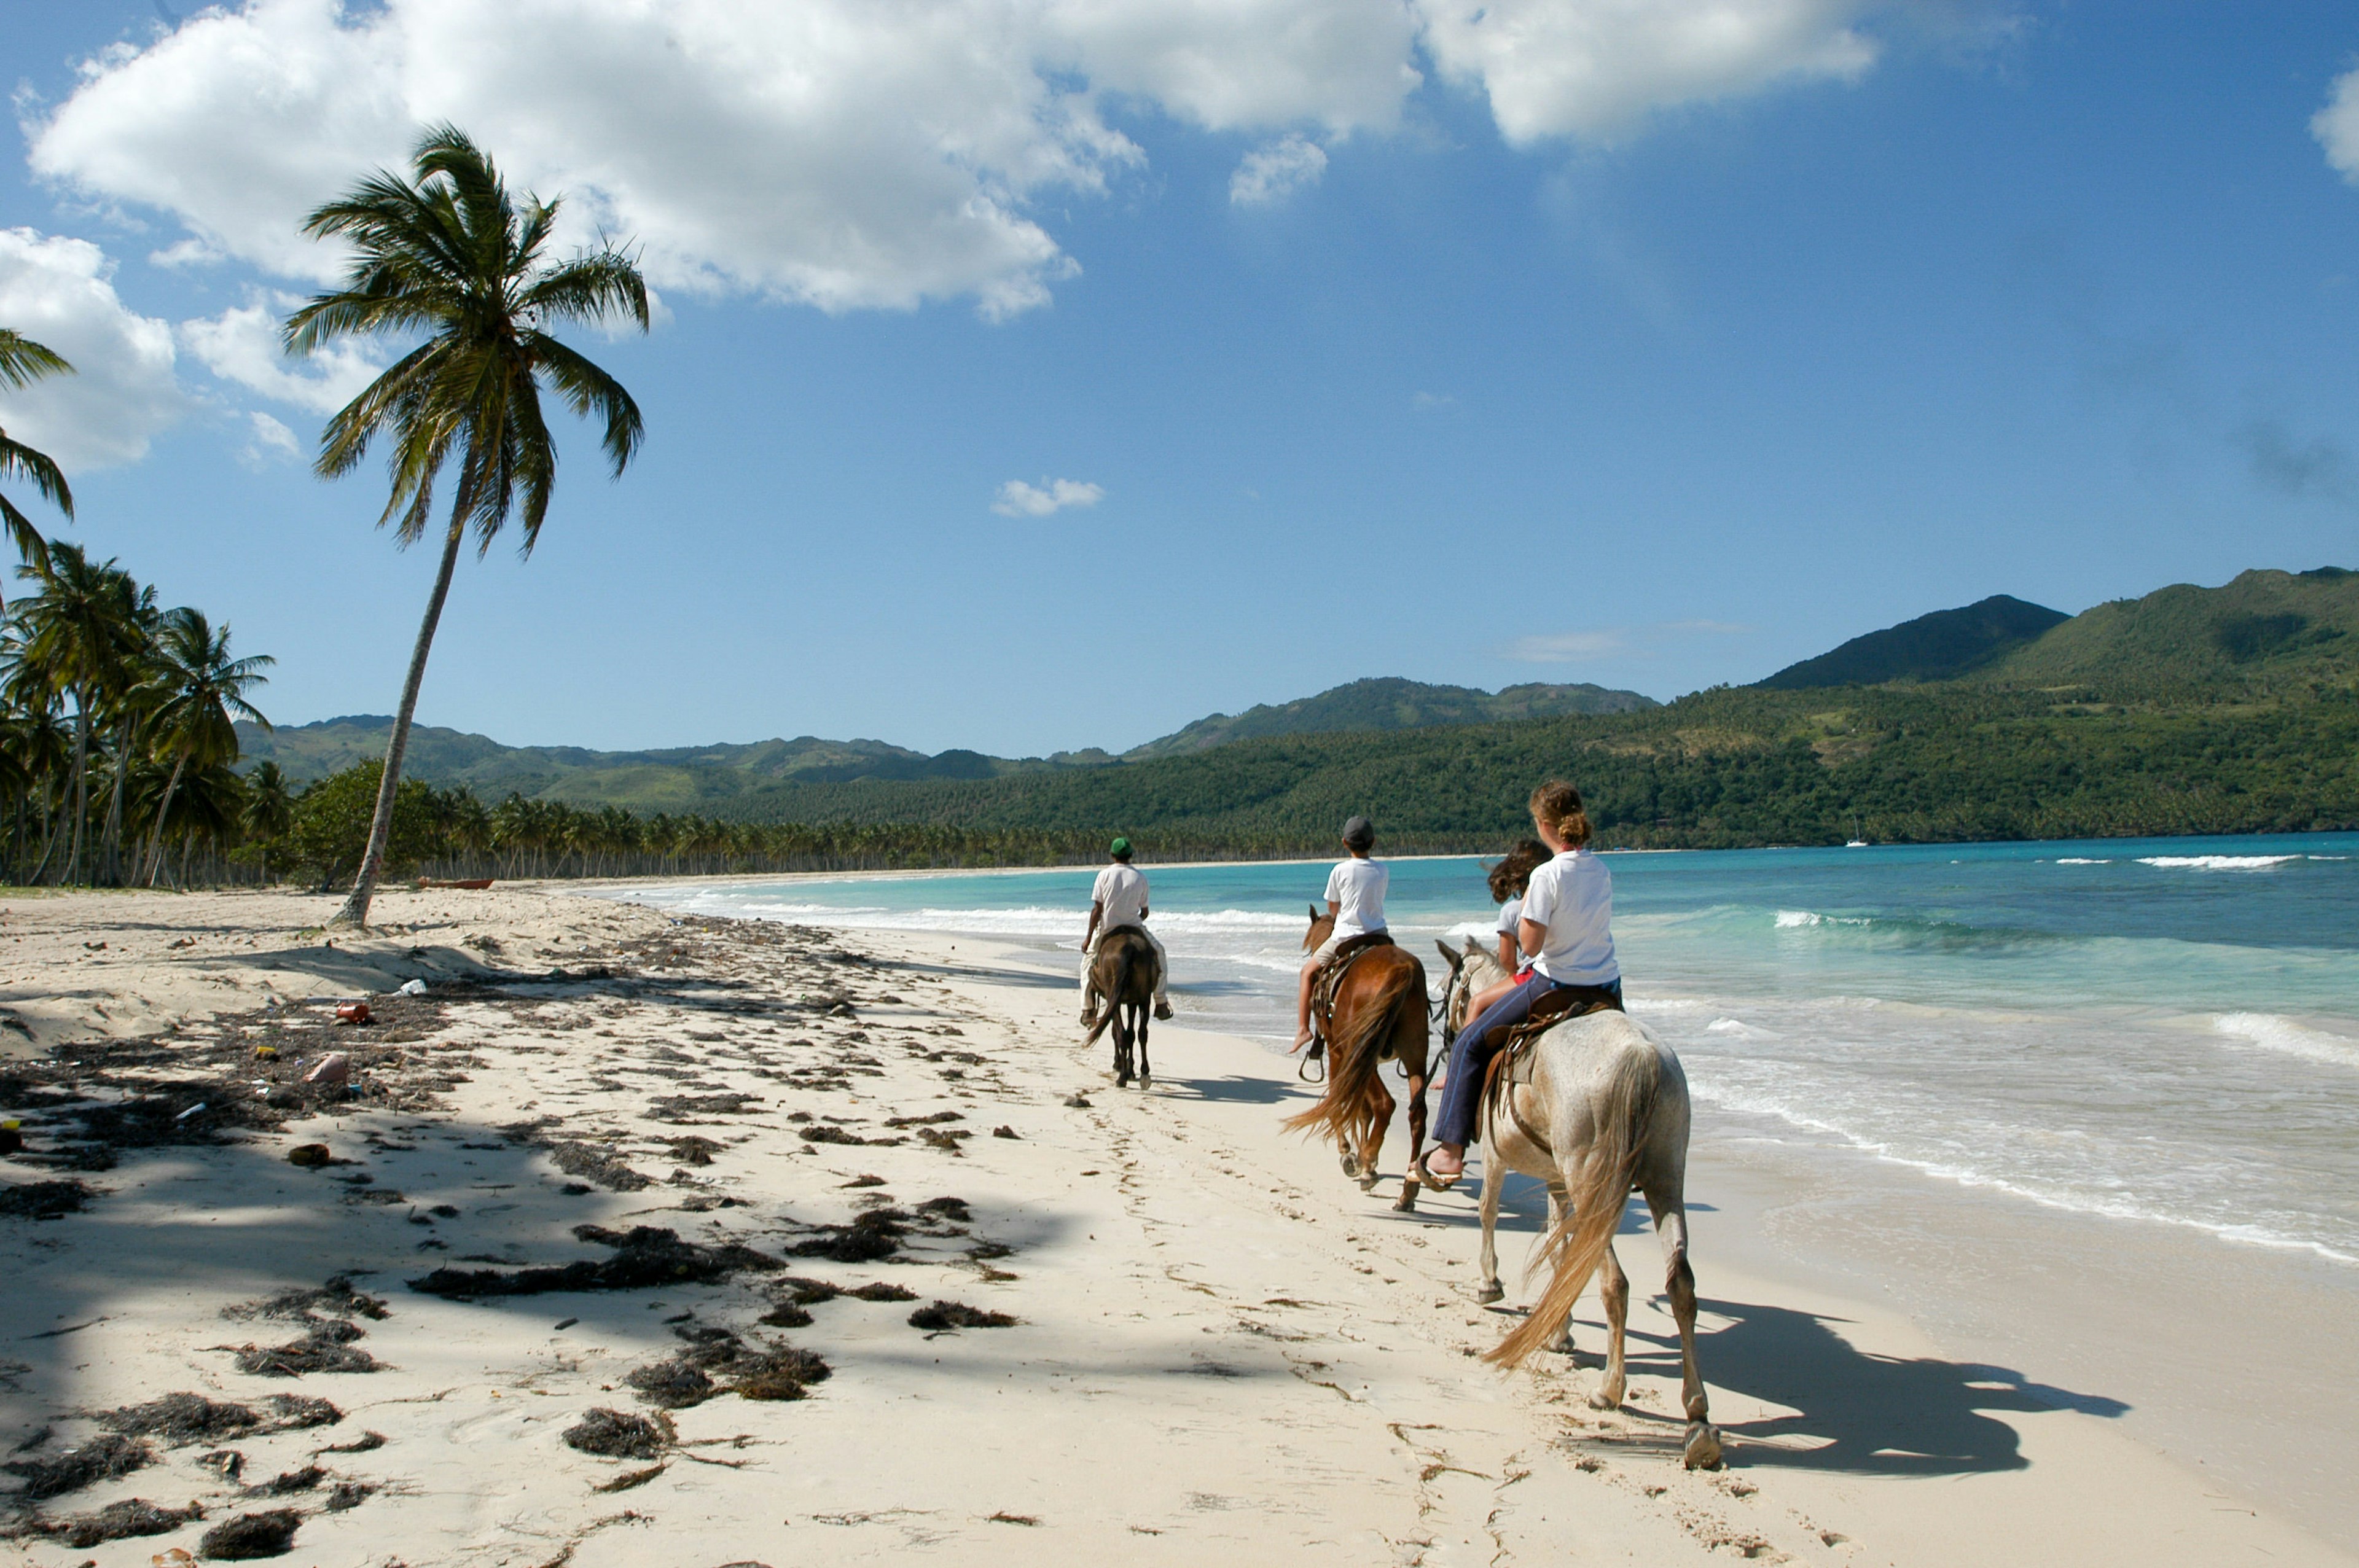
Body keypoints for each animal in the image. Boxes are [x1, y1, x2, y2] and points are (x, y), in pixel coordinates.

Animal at [1085, 924, 1160, 1084]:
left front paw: (1119, 1065)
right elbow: (1131, 1034)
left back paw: (1122, 1078)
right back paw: (1144, 1073)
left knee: (1121, 1034)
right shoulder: (1132, 1002)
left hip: (1115, 999)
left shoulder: (1114, 1002)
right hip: (1144, 998)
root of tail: (1129, 949)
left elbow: (1116, 1032)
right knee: (1142, 1033)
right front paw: (1131, 1070)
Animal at [1283, 905, 1425, 1207]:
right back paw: (1408, 1190)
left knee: (1385, 1104)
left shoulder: (1338, 1053)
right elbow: (1361, 1109)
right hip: (1413, 1054)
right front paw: (1358, 1153)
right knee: (1417, 1113)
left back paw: (1369, 1166)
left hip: (1357, 1049)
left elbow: (1343, 1100)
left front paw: (1349, 1153)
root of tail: (1401, 969)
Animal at [1425, 929, 1726, 1471]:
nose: (1451, 1038)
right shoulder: (1557, 1181)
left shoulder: (1500, 1157)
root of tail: (1641, 1056)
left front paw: (1490, 1284)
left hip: (1594, 1185)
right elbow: (1561, 1253)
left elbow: (1488, 1213)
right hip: (1664, 1180)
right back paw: (1698, 1417)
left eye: (1446, 990)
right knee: (1681, 1284)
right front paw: (1559, 1330)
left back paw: (1610, 1388)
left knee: (1615, 1283)